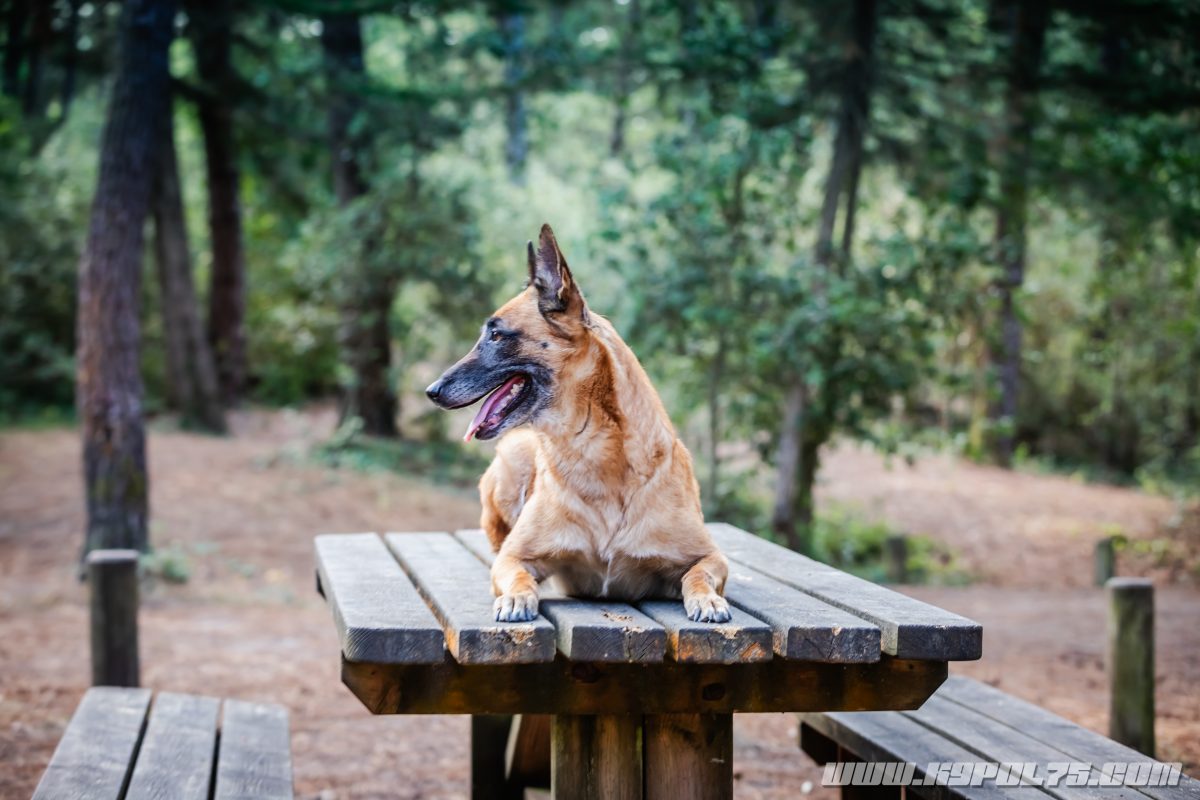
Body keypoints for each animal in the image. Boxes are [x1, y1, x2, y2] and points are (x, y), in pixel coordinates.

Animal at [425, 224, 731, 624]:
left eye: (496, 335)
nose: (431, 391)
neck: (596, 452)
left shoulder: (710, 556)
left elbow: (699, 575)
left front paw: (707, 599)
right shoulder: (514, 557)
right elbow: (516, 573)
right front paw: (516, 597)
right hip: (511, 458)